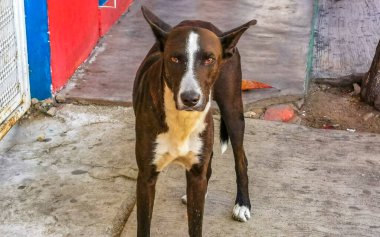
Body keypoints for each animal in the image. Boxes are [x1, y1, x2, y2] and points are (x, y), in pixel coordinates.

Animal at [132, 6, 256, 237]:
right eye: (174, 59)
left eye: (209, 59)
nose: (190, 98)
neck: (183, 120)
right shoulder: (146, 177)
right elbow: (143, 226)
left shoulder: (196, 173)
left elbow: (196, 225)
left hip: (233, 110)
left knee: (241, 159)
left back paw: (242, 204)